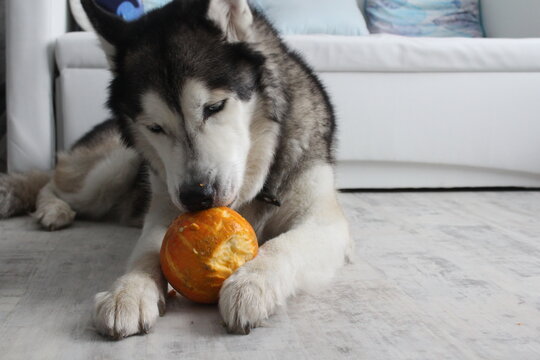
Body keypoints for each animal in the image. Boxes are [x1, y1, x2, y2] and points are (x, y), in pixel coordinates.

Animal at [0, 0, 354, 338]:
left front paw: (253, 283)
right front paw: (128, 290)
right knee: (52, 181)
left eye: (214, 107)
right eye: (155, 127)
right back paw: (52, 209)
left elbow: (283, 245)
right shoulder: (164, 205)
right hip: (112, 169)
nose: (197, 197)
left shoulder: (324, 221)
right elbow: (148, 251)